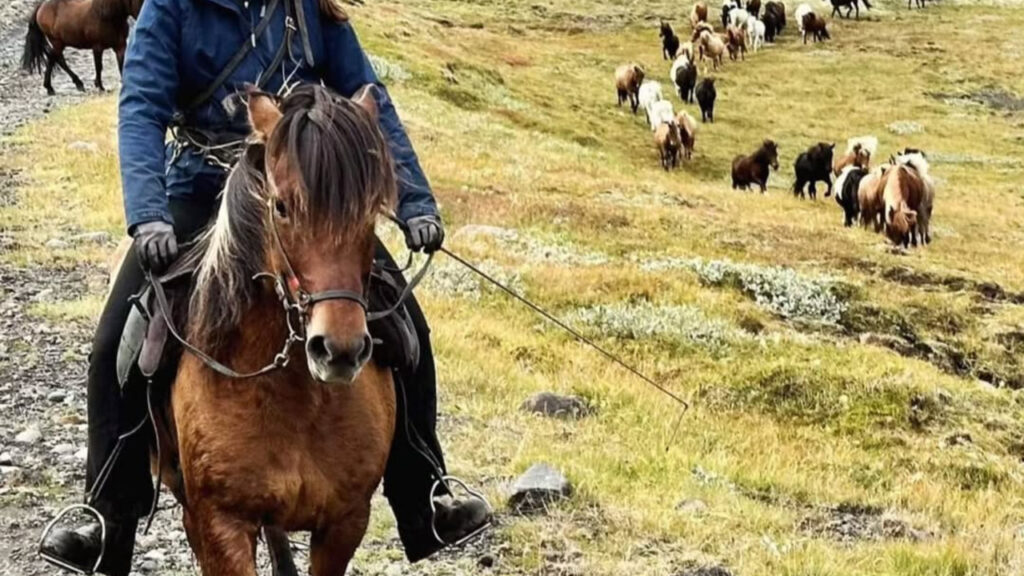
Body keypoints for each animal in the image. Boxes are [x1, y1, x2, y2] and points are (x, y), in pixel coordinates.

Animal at [157, 85, 399, 575]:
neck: (296, 401)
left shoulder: (346, 523)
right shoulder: (221, 524)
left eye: (371, 215)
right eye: (282, 207)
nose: (339, 350)